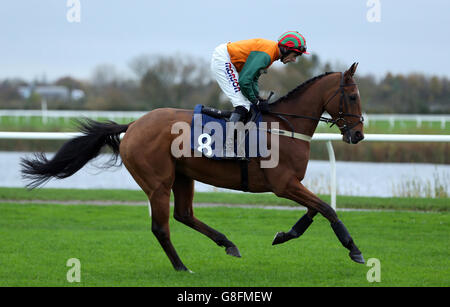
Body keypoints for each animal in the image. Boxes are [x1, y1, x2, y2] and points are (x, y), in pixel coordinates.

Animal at [22, 62, 366, 272]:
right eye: (352, 96)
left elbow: (316, 209)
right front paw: (354, 249)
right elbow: (327, 209)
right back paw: (181, 266)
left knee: (184, 214)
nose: (358, 134)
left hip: (183, 176)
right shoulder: (284, 184)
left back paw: (227, 244)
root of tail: (133, 125)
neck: (284, 127)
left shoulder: (291, 184)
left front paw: (284, 234)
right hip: (158, 182)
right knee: (161, 227)